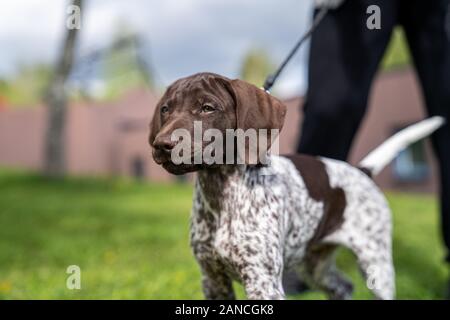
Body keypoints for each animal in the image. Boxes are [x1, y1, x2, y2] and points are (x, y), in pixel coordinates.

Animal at [149, 72, 444, 300]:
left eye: (207, 108)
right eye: (165, 109)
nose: (162, 144)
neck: (220, 194)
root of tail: (361, 171)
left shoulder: (262, 282)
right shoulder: (212, 280)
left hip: (375, 263)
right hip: (315, 264)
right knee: (343, 286)